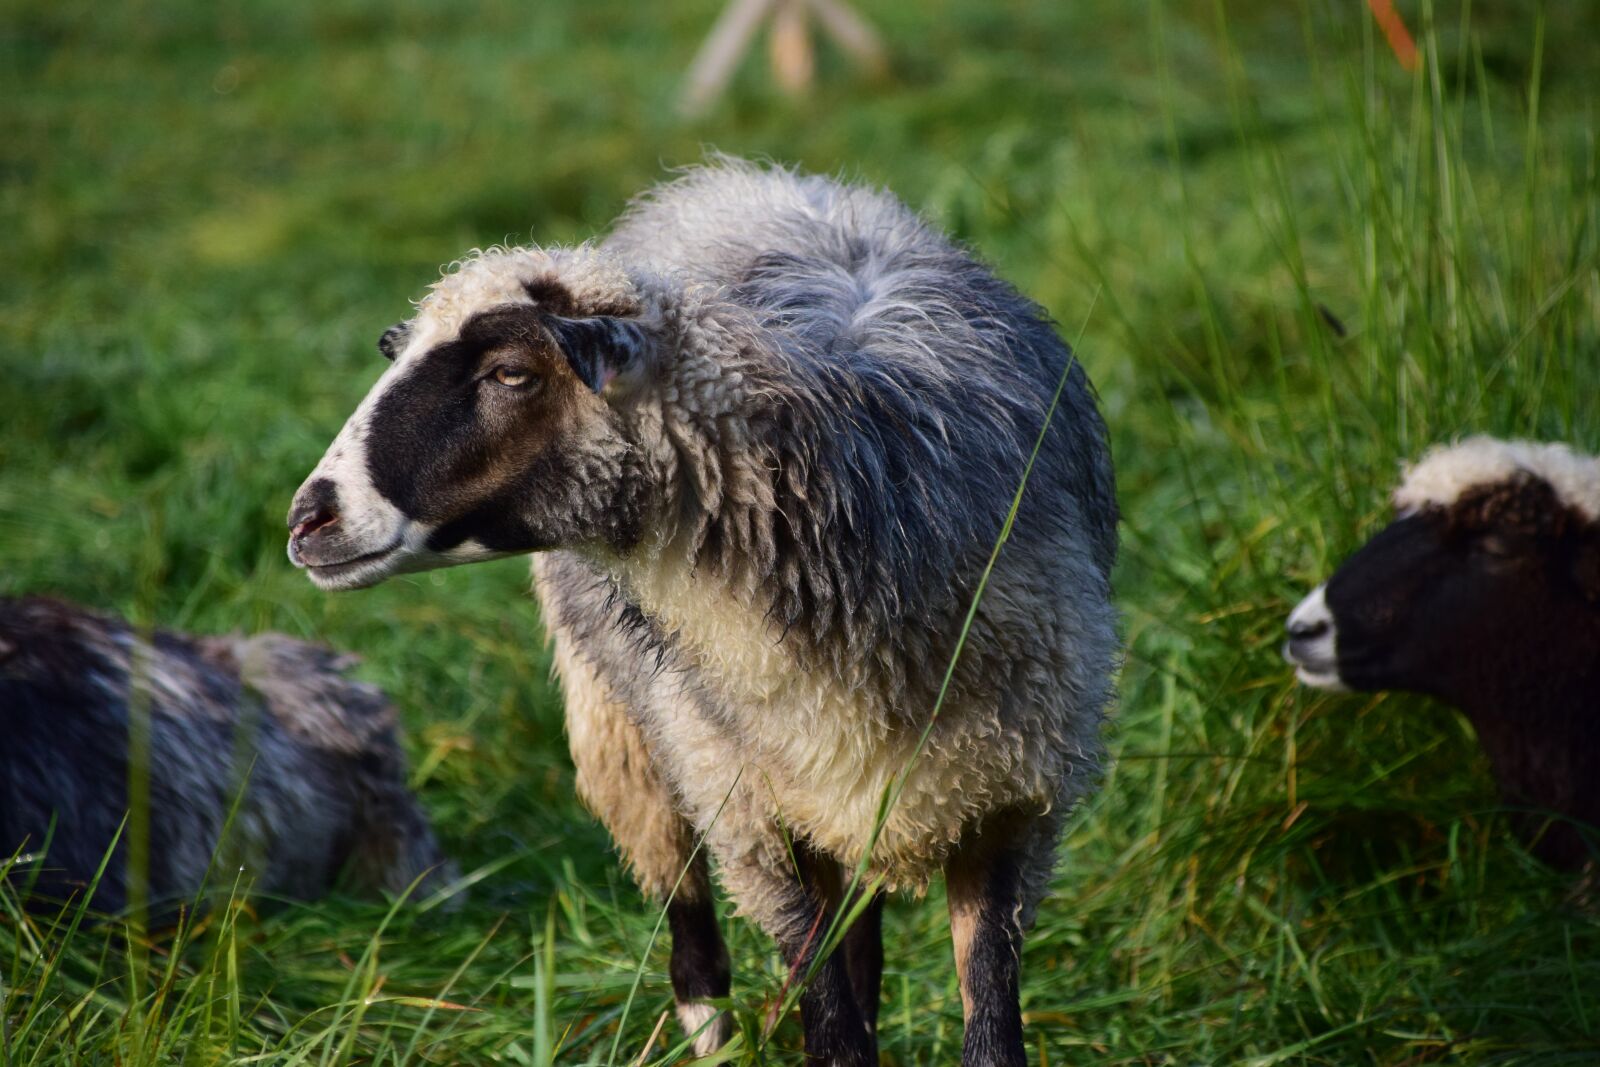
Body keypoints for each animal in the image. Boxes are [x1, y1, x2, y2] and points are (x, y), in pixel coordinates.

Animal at [287, 159, 1120, 1066]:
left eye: (511, 372)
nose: (308, 518)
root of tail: (739, 178)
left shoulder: (1012, 800)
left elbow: (985, 1027)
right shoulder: (754, 823)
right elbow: (829, 1025)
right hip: (635, 739)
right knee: (694, 946)